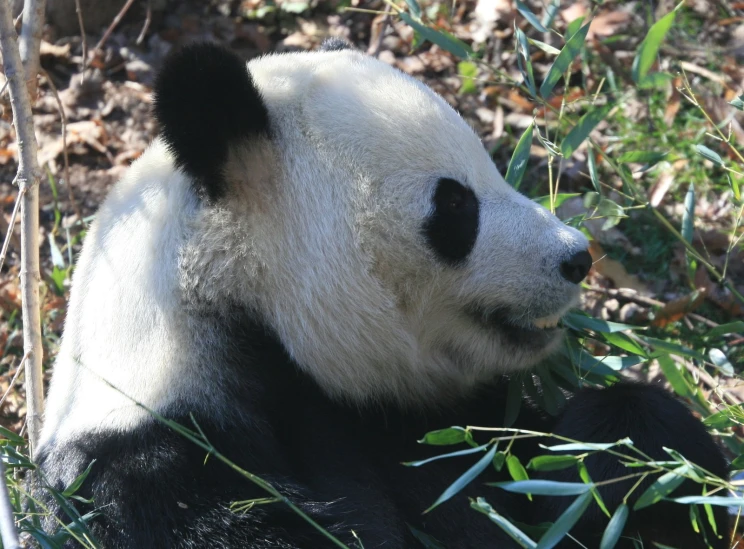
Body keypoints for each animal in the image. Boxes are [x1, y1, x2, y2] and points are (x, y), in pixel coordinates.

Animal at [35, 41, 728, 548]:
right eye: (456, 205)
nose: (576, 258)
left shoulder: (420, 430)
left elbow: (527, 478)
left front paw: (626, 445)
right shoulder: (151, 472)